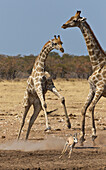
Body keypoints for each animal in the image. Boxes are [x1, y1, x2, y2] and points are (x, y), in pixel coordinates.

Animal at [61, 10, 105, 145]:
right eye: (70, 17)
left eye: (75, 20)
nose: (63, 25)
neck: (97, 64)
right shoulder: (92, 89)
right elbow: (83, 109)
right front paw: (81, 136)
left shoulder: (100, 88)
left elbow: (91, 108)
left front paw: (94, 134)